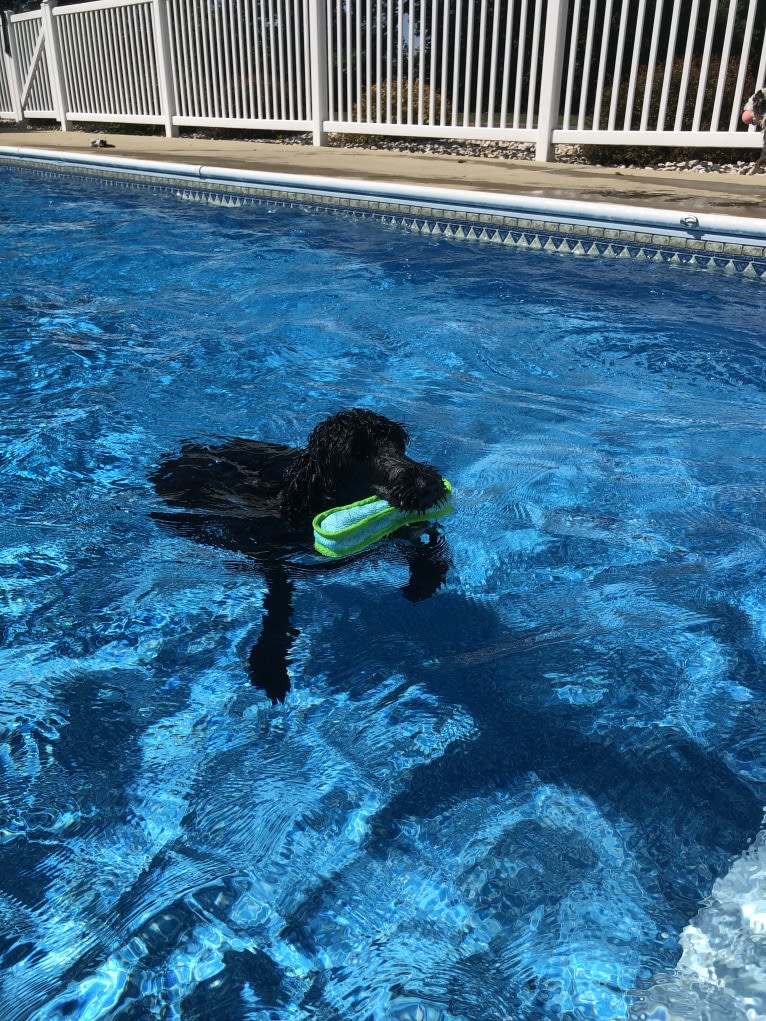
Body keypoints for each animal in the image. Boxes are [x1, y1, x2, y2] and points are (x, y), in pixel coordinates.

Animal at [148, 406, 449, 702]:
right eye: (357, 454)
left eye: (398, 444)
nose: (428, 485)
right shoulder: (270, 555)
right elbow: (279, 603)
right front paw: (270, 663)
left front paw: (424, 578)